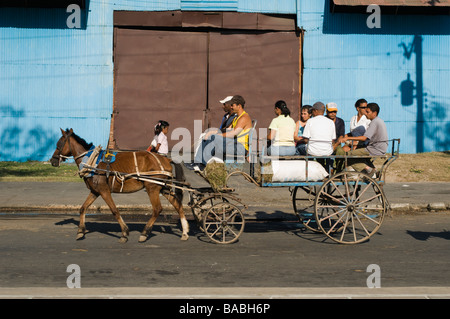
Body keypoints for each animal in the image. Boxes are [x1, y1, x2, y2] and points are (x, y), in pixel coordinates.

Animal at [49, 129, 190, 244]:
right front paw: (80, 231)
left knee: (157, 209)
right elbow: (83, 208)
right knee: (177, 205)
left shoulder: (104, 191)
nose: (52, 160)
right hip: (163, 187)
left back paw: (144, 233)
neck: (92, 162)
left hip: (152, 188)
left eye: (59, 144)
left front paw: (124, 233)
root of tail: (166, 159)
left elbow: (114, 210)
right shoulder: (95, 191)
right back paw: (184, 232)